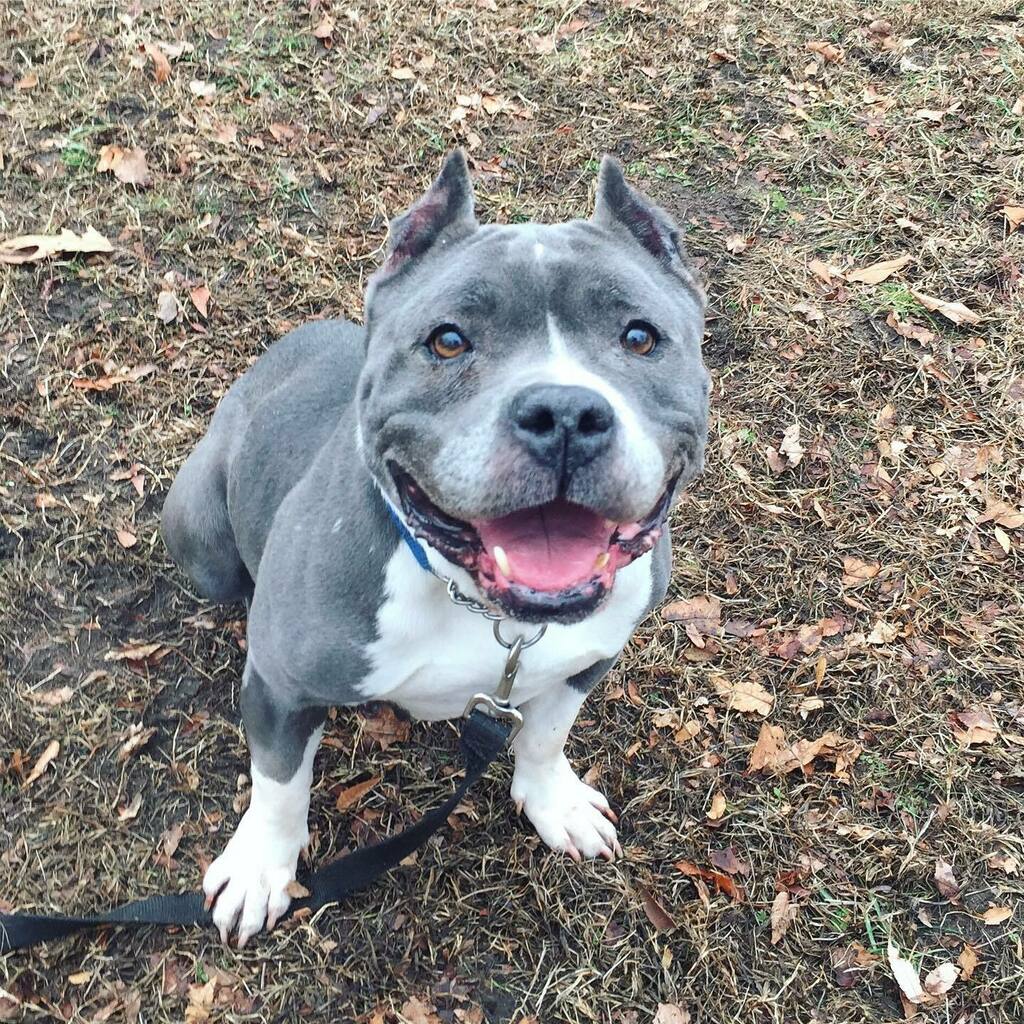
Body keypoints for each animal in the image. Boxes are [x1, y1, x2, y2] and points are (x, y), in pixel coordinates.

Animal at [163, 151, 708, 942]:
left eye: (640, 337)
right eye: (448, 340)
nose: (565, 413)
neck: (480, 604)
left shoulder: (591, 659)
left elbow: (545, 734)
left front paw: (554, 801)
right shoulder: (284, 690)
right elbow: (279, 784)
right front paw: (262, 868)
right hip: (201, 535)